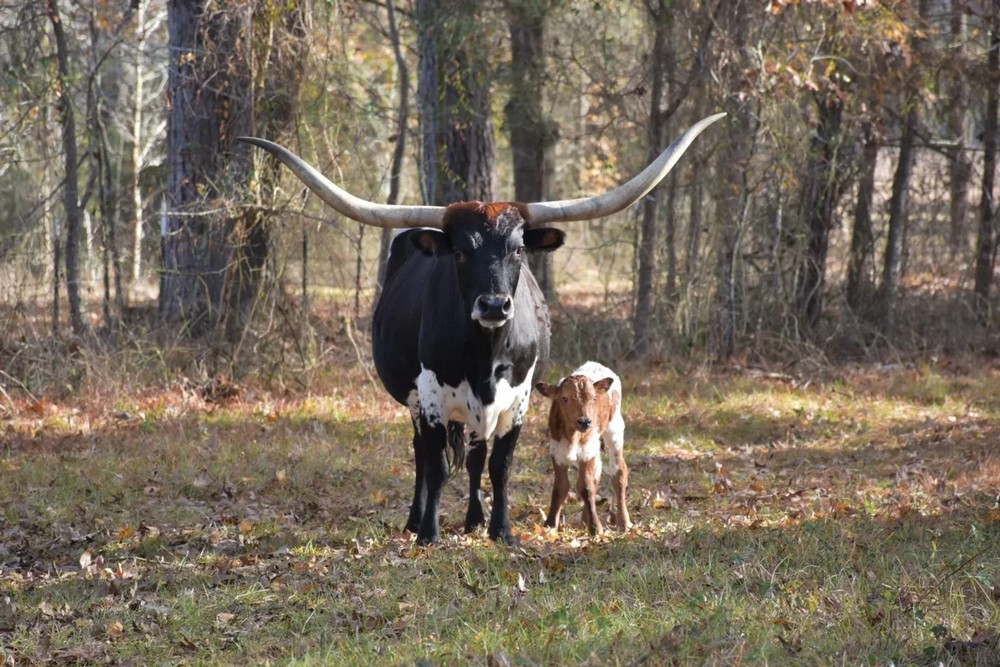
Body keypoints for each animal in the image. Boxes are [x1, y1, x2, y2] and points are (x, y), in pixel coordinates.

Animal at [536, 362, 628, 536]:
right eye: (564, 398)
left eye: (593, 398)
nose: (585, 422)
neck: (573, 436)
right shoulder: (557, 452)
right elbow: (560, 488)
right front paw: (550, 525)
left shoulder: (587, 452)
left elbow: (585, 487)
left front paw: (596, 528)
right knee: (597, 472)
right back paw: (585, 521)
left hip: (614, 428)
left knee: (618, 471)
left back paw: (624, 522)